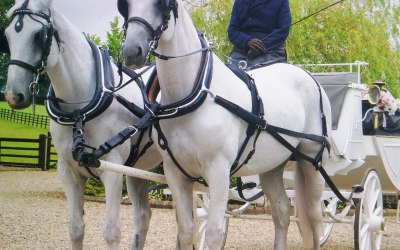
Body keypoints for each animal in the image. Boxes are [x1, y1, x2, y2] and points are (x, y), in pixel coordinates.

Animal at [3, 0, 162, 250]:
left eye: (39, 35)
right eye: (8, 34)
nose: (13, 95)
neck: (79, 111)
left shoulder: (112, 170)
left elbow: (111, 232)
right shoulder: (69, 172)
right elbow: (76, 229)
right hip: (139, 169)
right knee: (143, 216)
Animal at [120, 0, 332, 249]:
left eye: (162, 5)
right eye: (125, 6)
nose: (132, 50)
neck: (196, 93)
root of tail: (308, 76)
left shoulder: (218, 171)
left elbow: (213, 232)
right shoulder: (175, 173)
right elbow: (186, 231)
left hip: (312, 160)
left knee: (315, 216)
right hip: (271, 167)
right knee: (282, 212)